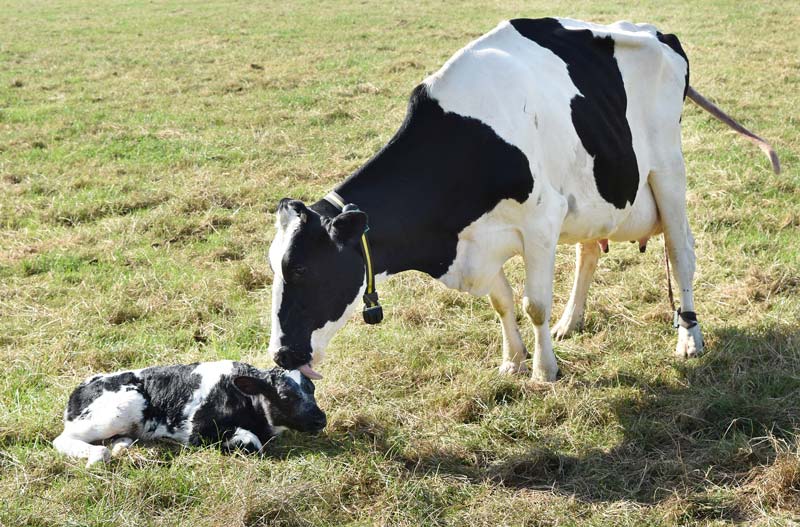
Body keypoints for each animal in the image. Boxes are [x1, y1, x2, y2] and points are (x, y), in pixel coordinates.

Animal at [53, 360, 324, 468]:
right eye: (286, 396)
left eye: (312, 388)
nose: (321, 419)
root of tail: (81, 388)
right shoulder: (198, 432)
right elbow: (251, 442)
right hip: (121, 406)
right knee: (64, 440)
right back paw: (97, 457)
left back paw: (122, 447)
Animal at [266, 18, 780, 382]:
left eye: (302, 269)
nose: (280, 354)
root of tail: (653, 30)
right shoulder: (480, 239)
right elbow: (502, 301)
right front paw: (512, 360)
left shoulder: (540, 222)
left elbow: (534, 303)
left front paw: (543, 370)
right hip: (593, 193)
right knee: (590, 250)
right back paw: (571, 321)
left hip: (668, 171)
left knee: (681, 252)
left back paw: (689, 338)